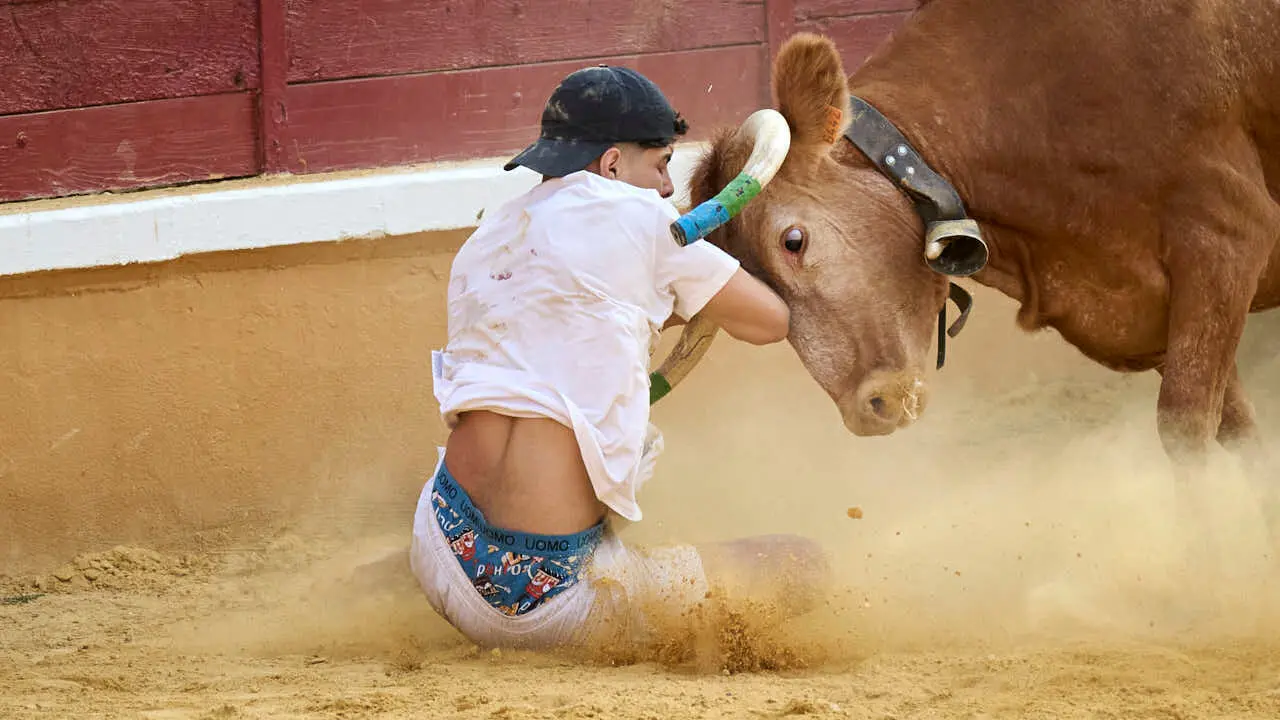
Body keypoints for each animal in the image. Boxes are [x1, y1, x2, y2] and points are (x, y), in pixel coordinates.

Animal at [654, 1, 1280, 538]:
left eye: (793, 240)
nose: (873, 408)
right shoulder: (1152, 314)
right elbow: (1239, 429)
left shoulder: (1224, 236)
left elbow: (1186, 427)